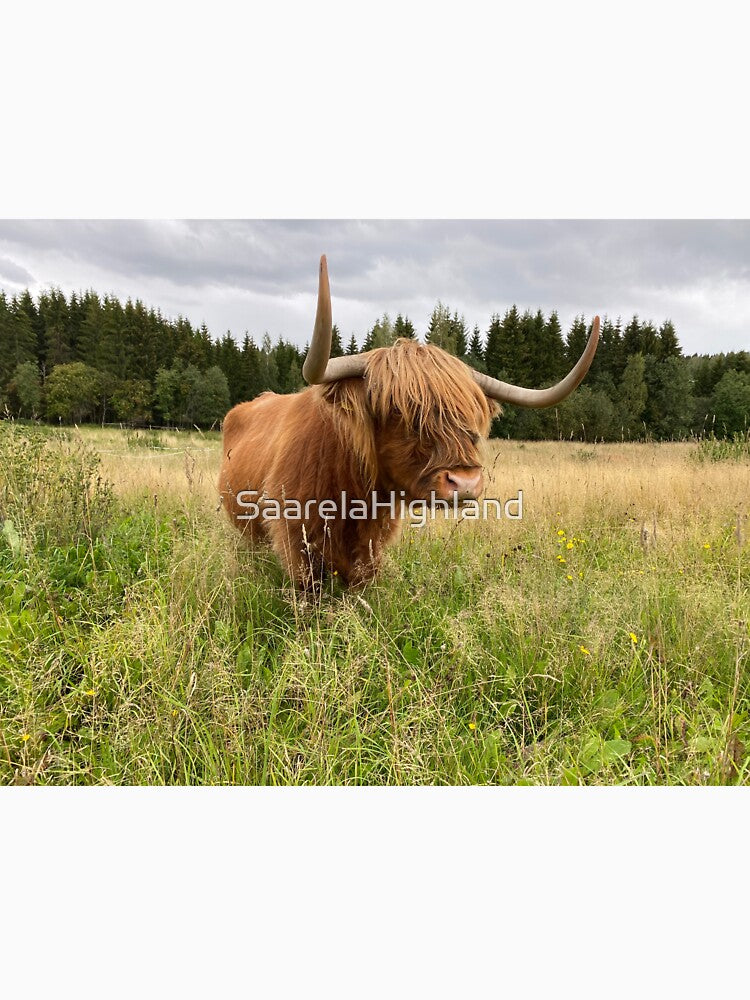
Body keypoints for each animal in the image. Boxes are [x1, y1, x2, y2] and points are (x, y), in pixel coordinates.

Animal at [219, 256, 599, 586]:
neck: (352, 495)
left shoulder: (370, 551)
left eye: (471, 416)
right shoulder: (297, 544)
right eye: (398, 411)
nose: (465, 483)